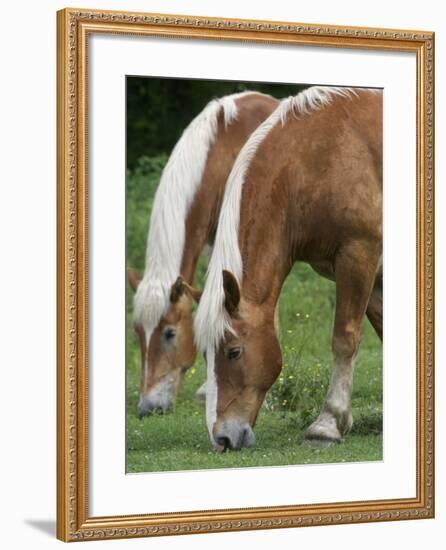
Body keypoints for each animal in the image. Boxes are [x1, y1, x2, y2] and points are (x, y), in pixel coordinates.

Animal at [195, 87, 384, 452]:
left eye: (234, 352)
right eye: (205, 355)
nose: (222, 437)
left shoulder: (358, 255)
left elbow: (344, 339)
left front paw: (328, 424)